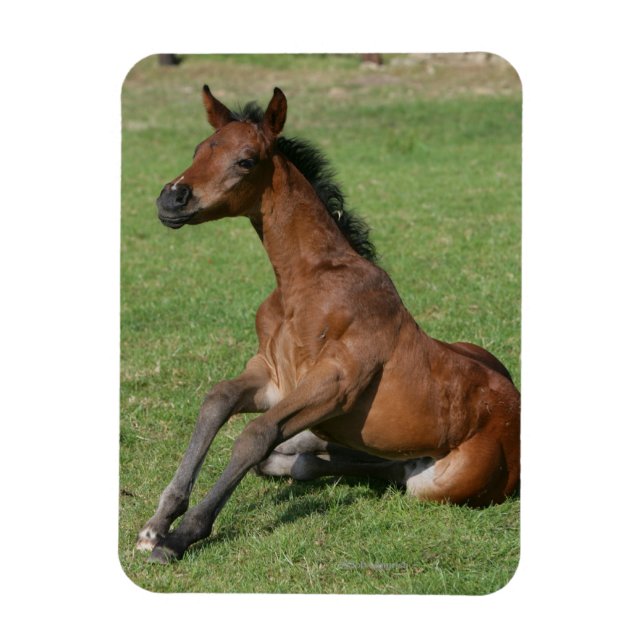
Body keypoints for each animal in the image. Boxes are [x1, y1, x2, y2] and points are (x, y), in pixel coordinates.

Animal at [136, 86, 520, 563]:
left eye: (246, 160)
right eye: (198, 149)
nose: (171, 199)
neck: (304, 283)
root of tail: (515, 411)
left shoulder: (335, 384)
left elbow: (255, 434)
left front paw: (181, 536)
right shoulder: (271, 377)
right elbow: (217, 400)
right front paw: (156, 523)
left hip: (434, 484)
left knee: (387, 471)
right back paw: (300, 452)